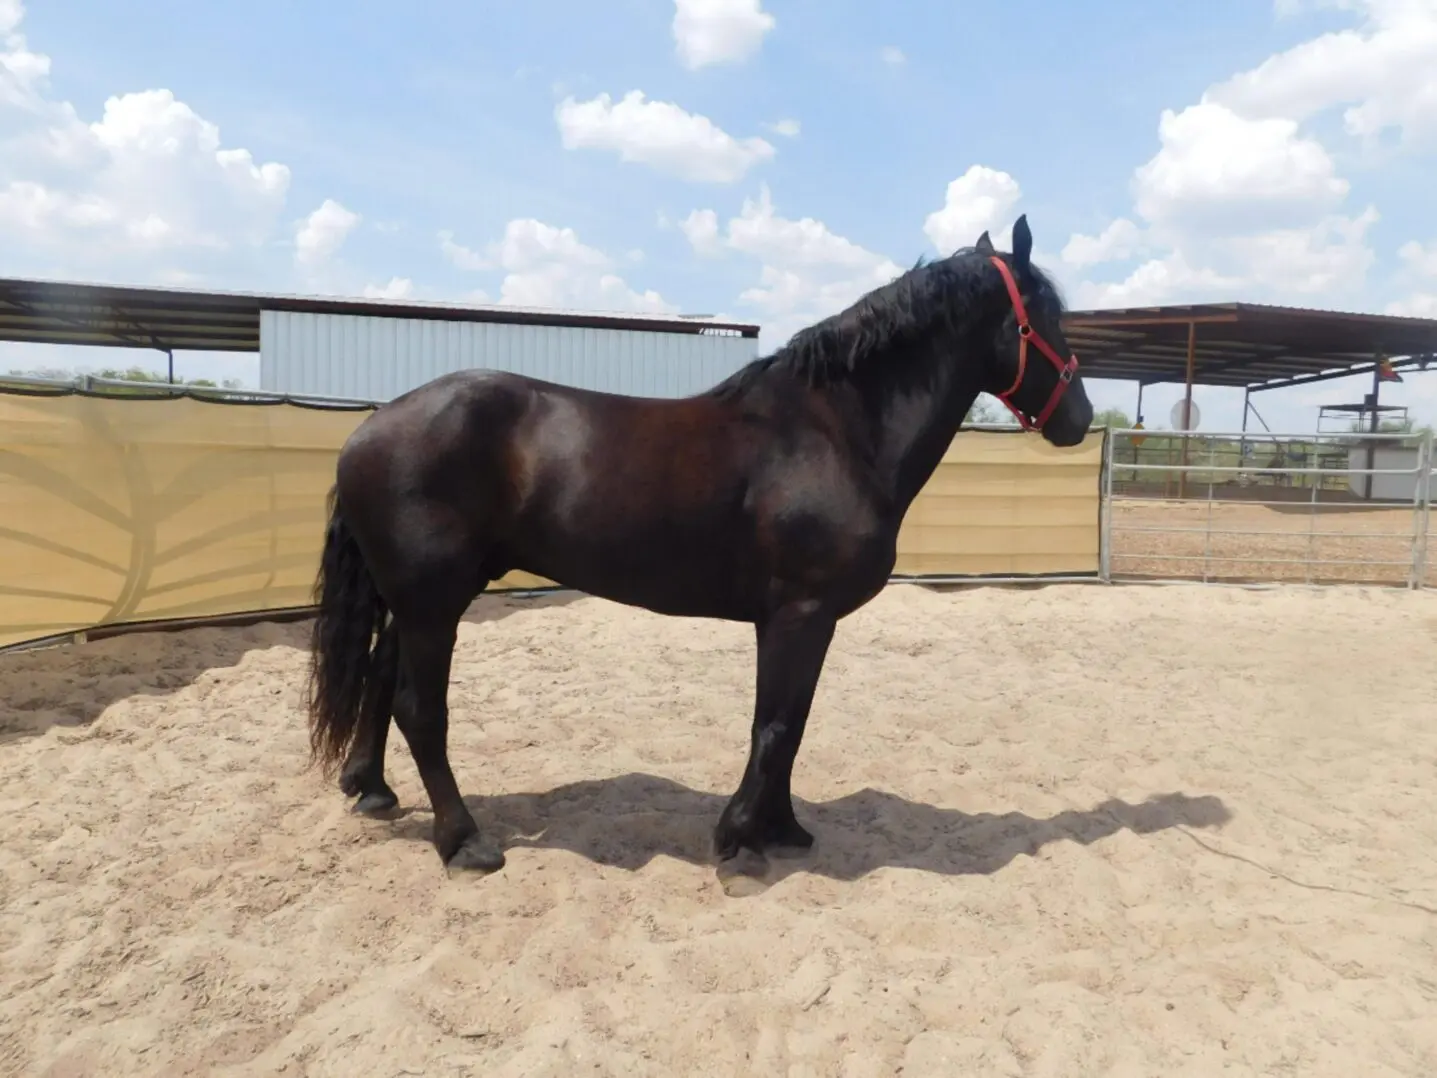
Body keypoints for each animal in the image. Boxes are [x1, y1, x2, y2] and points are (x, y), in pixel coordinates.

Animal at [304, 215, 1094, 879]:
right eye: (1049, 318)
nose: (1080, 418)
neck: (833, 431)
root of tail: (368, 429)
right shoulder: (799, 614)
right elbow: (774, 726)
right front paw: (740, 839)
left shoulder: (807, 621)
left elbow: (790, 724)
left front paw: (782, 830)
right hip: (433, 603)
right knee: (419, 708)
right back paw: (464, 841)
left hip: (422, 599)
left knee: (380, 680)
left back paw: (372, 790)